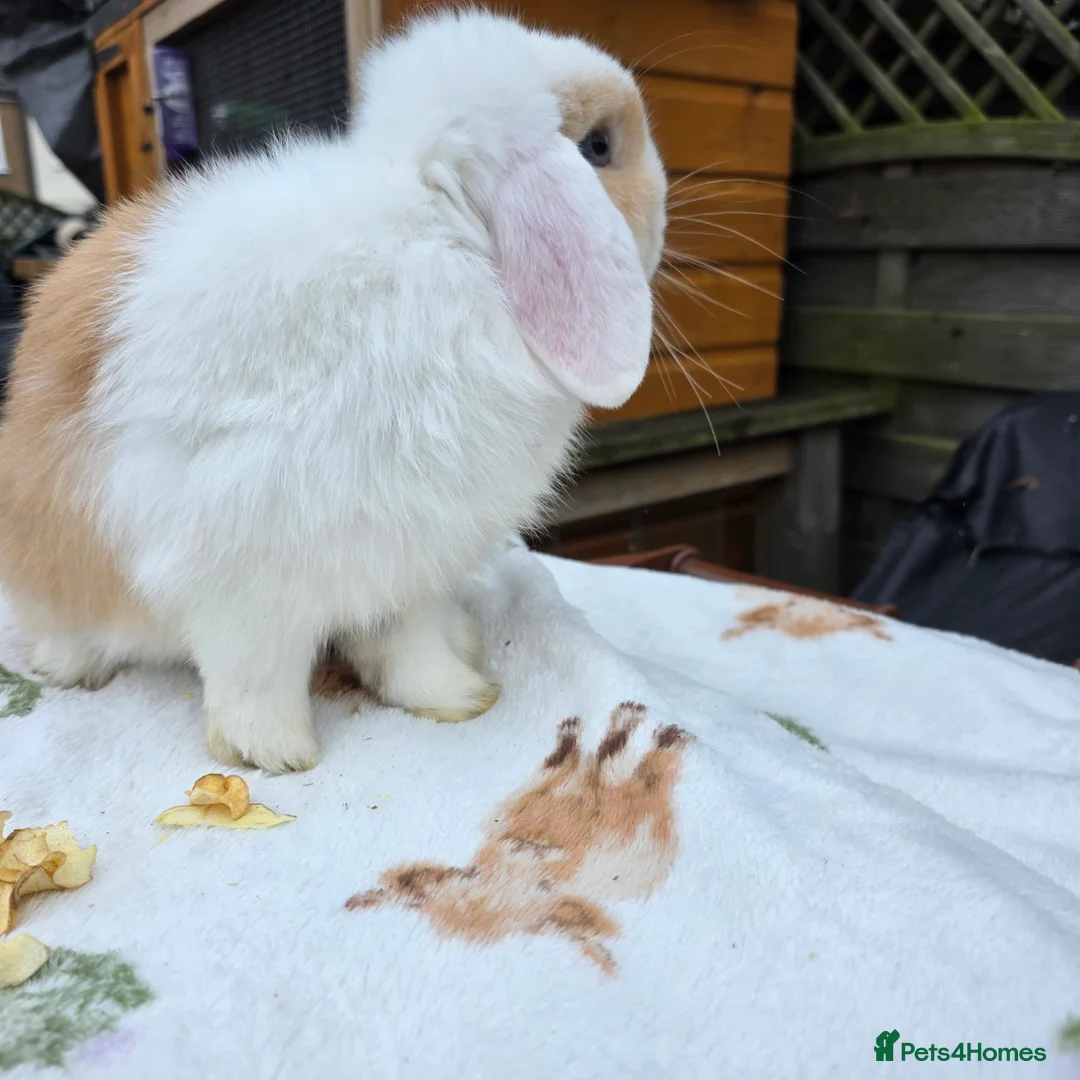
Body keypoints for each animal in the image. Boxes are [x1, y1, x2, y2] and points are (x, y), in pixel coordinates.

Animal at [0, 8, 667, 773]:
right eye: (599, 147)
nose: (665, 205)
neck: (450, 238)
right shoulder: (242, 575)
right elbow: (254, 677)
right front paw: (276, 755)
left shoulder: (405, 561)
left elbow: (406, 646)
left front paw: (458, 697)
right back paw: (70, 668)